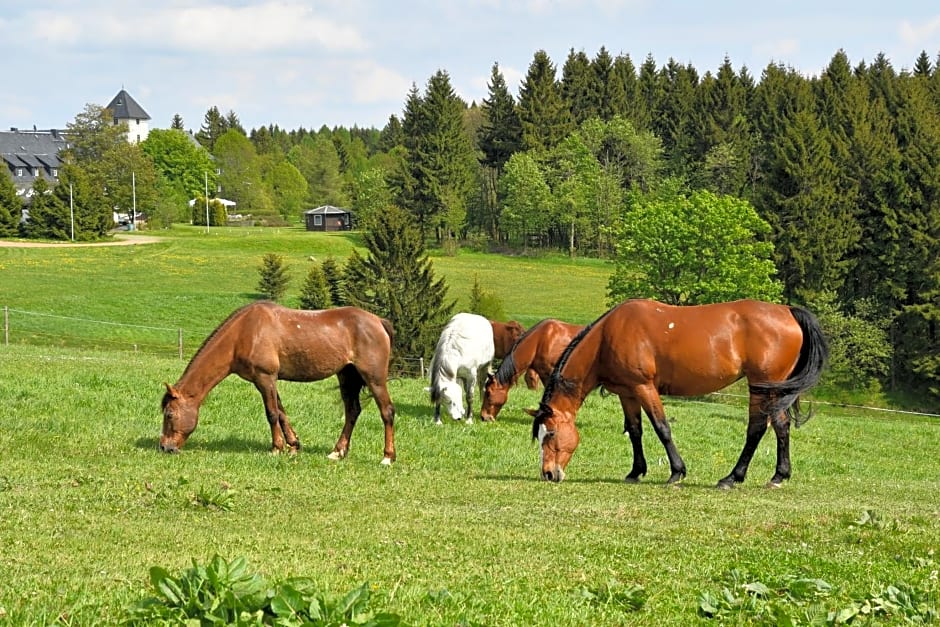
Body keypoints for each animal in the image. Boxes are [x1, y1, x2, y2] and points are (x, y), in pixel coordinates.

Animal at [162, 302, 396, 464]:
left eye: (170, 414)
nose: (165, 447)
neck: (244, 333)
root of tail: (378, 321)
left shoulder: (264, 378)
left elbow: (272, 413)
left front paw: (276, 448)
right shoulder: (270, 381)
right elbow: (282, 413)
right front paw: (293, 445)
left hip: (374, 378)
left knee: (387, 412)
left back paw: (387, 457)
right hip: (347, 376)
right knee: (352, 411)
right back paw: (338, 452)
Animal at [532, 300, 828, 490]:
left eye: (552, 434)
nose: (548, 473)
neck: (607, 336)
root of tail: (787, 311)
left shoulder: (644, 387)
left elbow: (662, 428)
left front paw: (676, 472)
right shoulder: (627, 393)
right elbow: (635, 431)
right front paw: (636, 471)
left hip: (763, 386)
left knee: (756, 429)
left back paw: (732, 478)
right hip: (774, 390)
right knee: (781, 426)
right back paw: (778, 476)